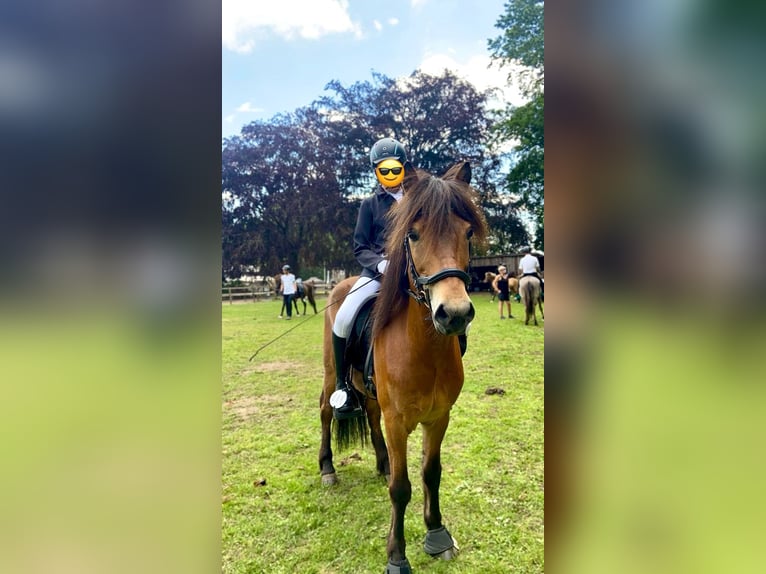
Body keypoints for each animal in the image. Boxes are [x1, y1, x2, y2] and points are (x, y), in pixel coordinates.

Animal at [320, 162, 492, 574]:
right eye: (412, 234)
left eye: (467, 232)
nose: (453, 314)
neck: (424, 349)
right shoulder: (398, 421)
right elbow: (401, 488)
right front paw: (396, 556)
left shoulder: (439, 416)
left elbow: (431, 473)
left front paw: (437, 534)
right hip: (332, 374)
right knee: (325, 411)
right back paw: (328, 469)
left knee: (369, 412)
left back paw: (381, 462)